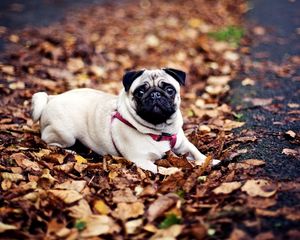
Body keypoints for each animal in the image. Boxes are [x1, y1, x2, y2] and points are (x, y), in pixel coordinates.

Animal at [31, 68, 218, 173]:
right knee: (49, 142)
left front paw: (210, 161)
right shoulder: (141, 160)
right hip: (64, 134)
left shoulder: (182, 144)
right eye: (140, 92)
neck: (159, 130)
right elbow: (163, 168)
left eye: (170, 90)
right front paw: (177, 170)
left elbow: (196, 151)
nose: (155, 94)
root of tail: (51, 98)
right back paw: (70, 151)